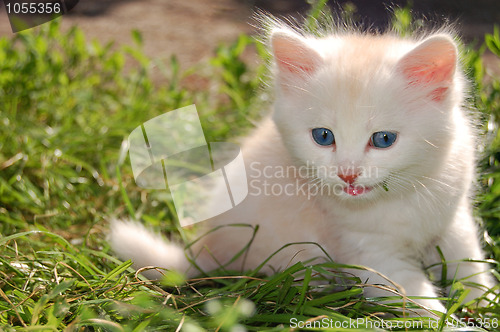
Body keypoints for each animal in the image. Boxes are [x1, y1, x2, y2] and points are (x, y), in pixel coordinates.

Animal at [107, 20, 494, 316]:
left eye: (383, 140)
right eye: (323, 137)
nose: (347, 173)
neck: (401, 198)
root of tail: (206, 248)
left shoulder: (455, 222)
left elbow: (472, 270)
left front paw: (485, 304)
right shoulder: (372, 256)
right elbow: (418, 302)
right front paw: (455, 323)